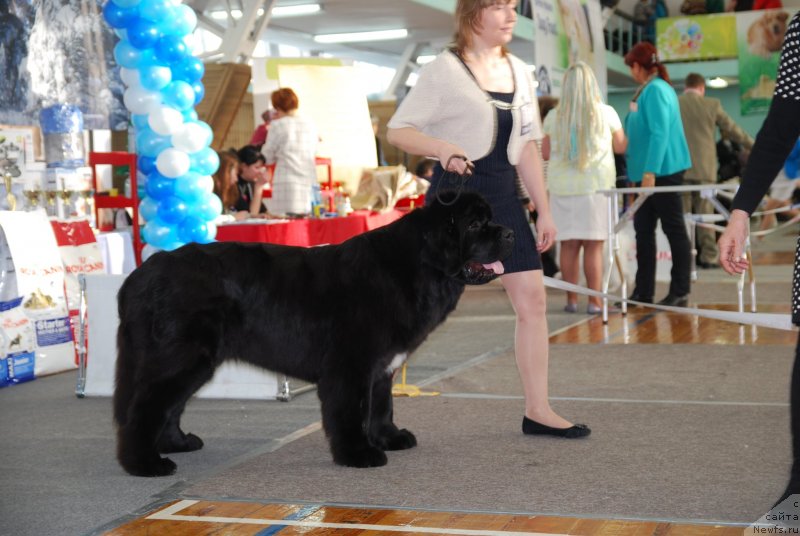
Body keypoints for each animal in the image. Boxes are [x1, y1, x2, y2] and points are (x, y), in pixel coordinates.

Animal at [114, 193, 512, 478]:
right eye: (476, 224)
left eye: (490, 218)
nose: (509, 232)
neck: (417, 268)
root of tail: (143, 273)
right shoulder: (350, 366)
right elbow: (351, 412)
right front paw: (358, 454)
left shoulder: (381, 367)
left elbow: (382, 405)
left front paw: (390, 437)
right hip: (182, 356)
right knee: (147, 406)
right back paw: (145, 463)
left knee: (169, 405)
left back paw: (176, 443)